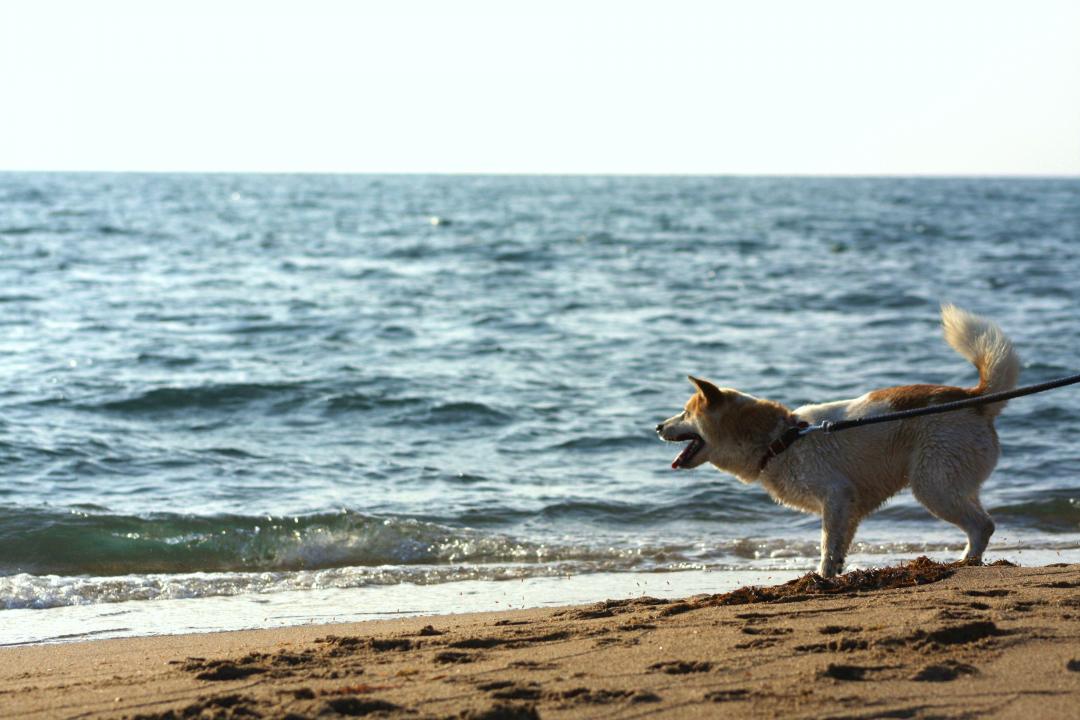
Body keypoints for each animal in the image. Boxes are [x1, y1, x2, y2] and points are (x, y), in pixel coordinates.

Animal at [652, 306, 1015, 578]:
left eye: (684, 413)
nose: (657, 426)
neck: (782, 438)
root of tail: (974, 399)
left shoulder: (836, 495)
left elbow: (827, 544)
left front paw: (822, 578)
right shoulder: (846, 508)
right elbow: (839, 544)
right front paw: (834, 573)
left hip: (933, 485)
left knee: (982, 525)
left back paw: (967, 562)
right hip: (954, 482)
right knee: (981, 519)